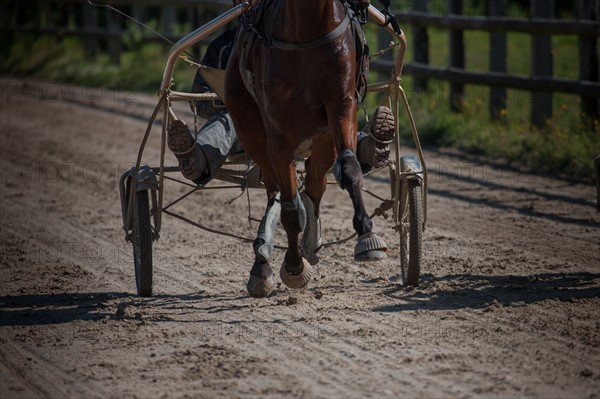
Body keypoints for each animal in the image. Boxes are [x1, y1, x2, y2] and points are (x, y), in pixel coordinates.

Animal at [225, 0, 390, 298]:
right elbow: (290, 209)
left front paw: (367, 235)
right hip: (249, 126)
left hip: (323, 136)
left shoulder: (341, 106)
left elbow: (350, 168)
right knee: (275, 190)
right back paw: (262, 264)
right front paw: (293, 266)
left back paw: (310, 242)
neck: (307, 28)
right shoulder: (277, 132)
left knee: (314, 184)